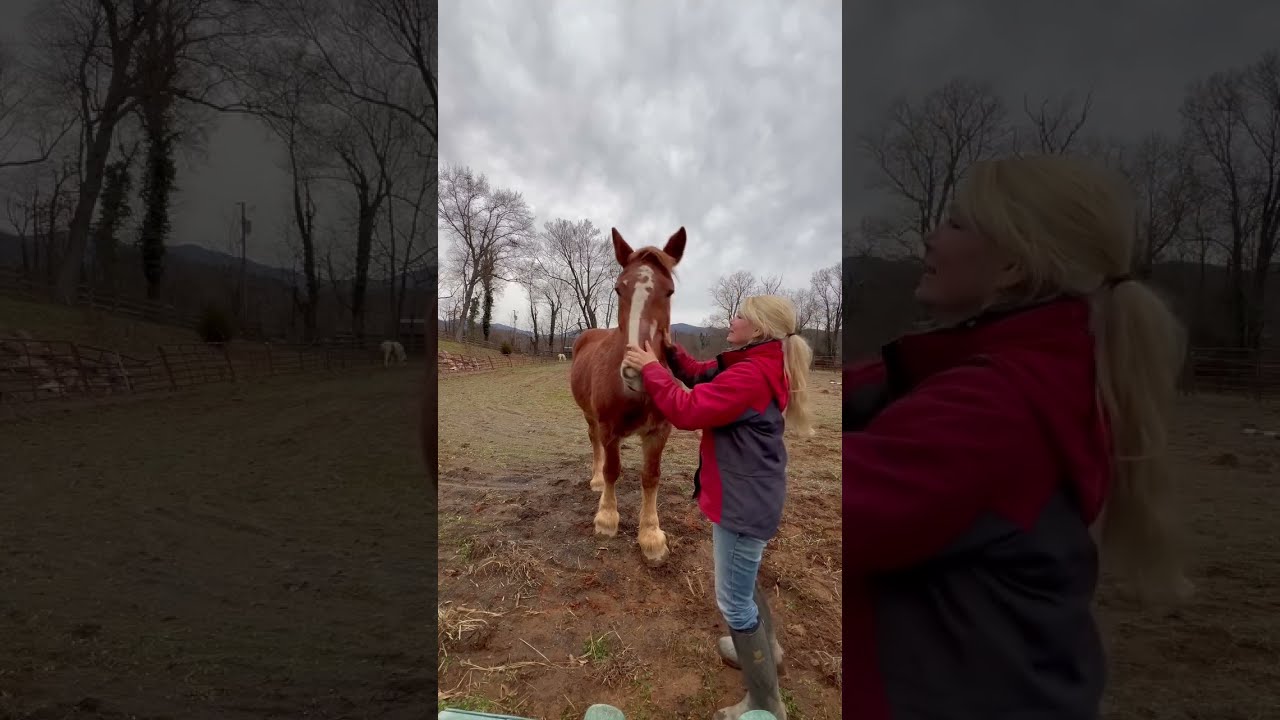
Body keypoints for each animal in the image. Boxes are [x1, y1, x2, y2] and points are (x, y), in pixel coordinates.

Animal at [570, 226, 685, 566]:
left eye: (669, 291)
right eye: (619, 289)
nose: (635, 370)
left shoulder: (659, 432)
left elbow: (651, 476)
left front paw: (651, 536)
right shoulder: (609, 428)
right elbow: (612, 470)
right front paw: (607, 518)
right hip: (590, 417)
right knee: (595, 444)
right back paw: (595, 481)